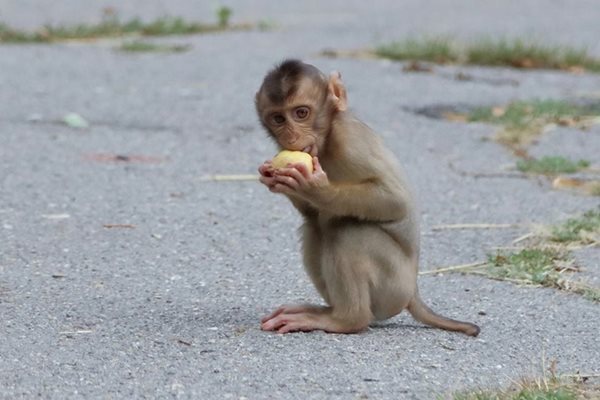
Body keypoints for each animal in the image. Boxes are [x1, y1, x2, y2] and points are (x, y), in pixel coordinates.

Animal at [255, 58, 480, 338]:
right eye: (278, 118)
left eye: (301, 113)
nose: (290, 136)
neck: (326, 141)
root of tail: (412, 292)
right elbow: (311, 214)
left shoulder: (350, 141)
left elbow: (396, 200)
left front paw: (315, 189)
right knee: (315, 227)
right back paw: (326, 311)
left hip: (393, 286)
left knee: (346, 230)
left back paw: (347, 319)